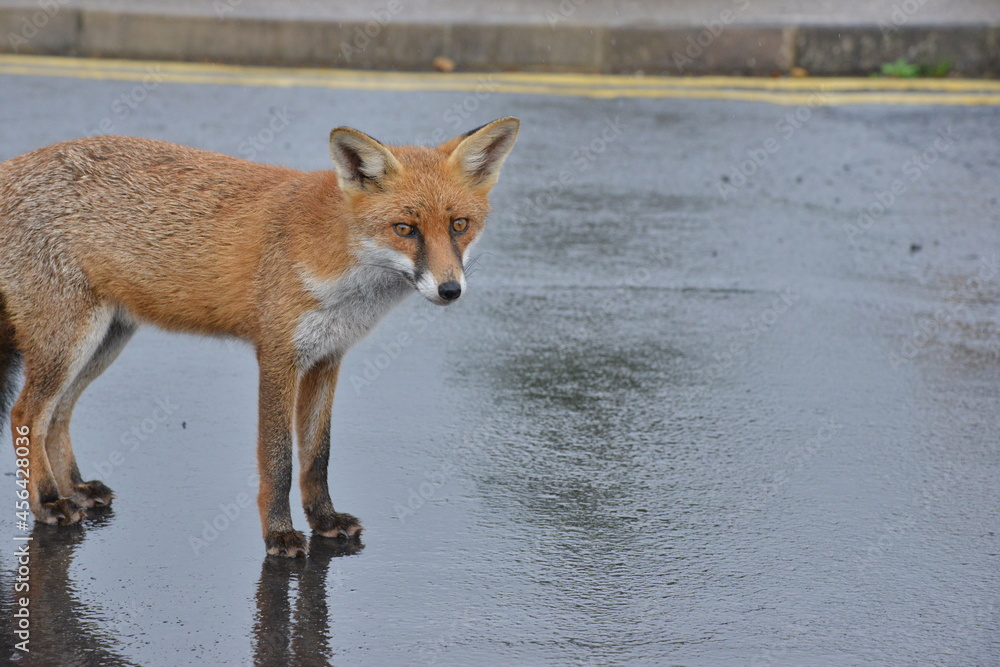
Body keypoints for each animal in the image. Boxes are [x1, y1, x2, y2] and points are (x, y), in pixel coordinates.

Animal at [0, 117, 519, 557]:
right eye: (405, 229)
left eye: (459, 225)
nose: (450, 290)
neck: (339, 265)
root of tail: (12, 165)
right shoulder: (277, 356)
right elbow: (280, 462)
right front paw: (280, 535)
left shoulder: (327, 358)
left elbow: (317, 457)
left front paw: (324, 520)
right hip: (69, 342)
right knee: (26, 414)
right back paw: (48, 502)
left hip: (103, 341)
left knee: (58, 415)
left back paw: (74, 489)